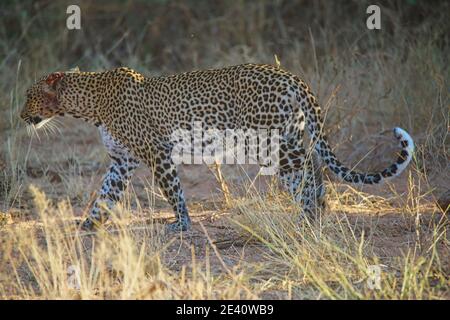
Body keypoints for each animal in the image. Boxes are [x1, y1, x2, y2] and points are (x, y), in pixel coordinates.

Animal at [21, 63, 414, 231]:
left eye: (28, 95)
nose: (21, 115)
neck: (89, 104)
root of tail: (291, 77)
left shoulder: (157, 154)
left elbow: (173, 192)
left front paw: (181, 224)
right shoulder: (122, 162)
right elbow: (105, 195)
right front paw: (87, 225)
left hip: (267, 142)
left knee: (307, 168)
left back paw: (310, 213)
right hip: (288, 136)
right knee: (310, 169)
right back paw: (314, 212)